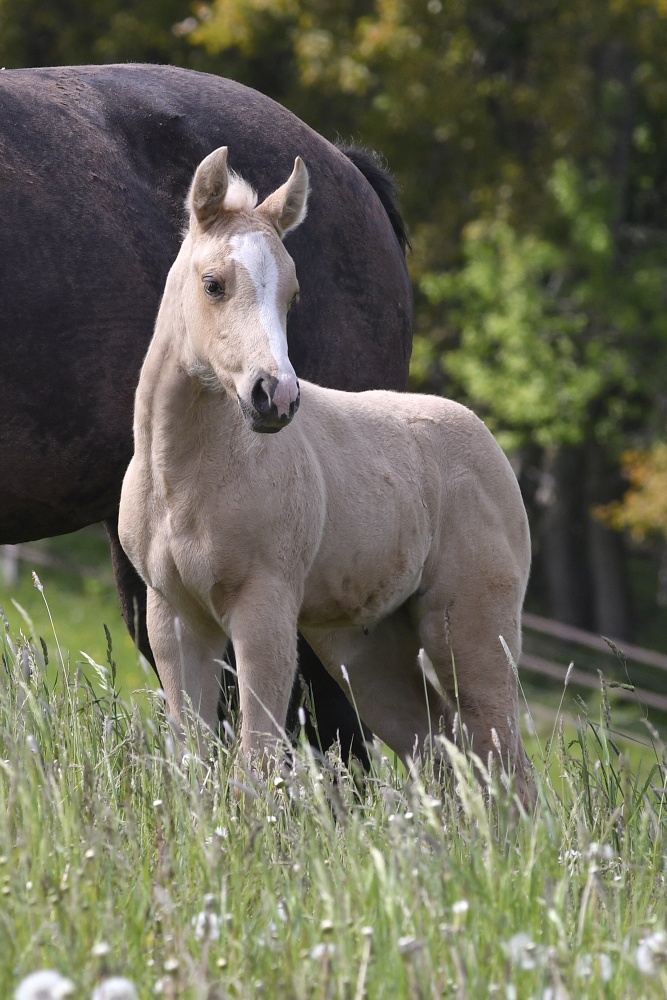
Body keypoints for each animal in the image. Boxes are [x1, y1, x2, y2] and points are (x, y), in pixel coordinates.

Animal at [120, 146, 536, 796]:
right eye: (213, 285)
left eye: (292, 295)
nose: (275, 397)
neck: (184, 476)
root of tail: (489, 443)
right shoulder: (174, 615)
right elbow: (192, 757)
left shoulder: (264, 610)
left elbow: (257, 760)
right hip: (366, 649)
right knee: (439, 748)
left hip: (470, 629)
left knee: (505, 761)